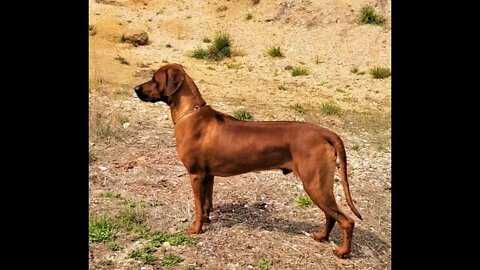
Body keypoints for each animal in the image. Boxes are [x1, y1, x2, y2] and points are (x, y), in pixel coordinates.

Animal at [133, 63, 362, 260]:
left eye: (154, 79)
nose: (135, 88)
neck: (191, 113)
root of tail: (324, 132)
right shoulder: (208, 175)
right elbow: (206, 203)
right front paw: (207, 220)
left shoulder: (195, 175)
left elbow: (198, 206)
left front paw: (196, 228)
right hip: (318, 186)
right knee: (331, 216)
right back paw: (322, 237)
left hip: (314, 185)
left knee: (347, 221)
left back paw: (343, 252)